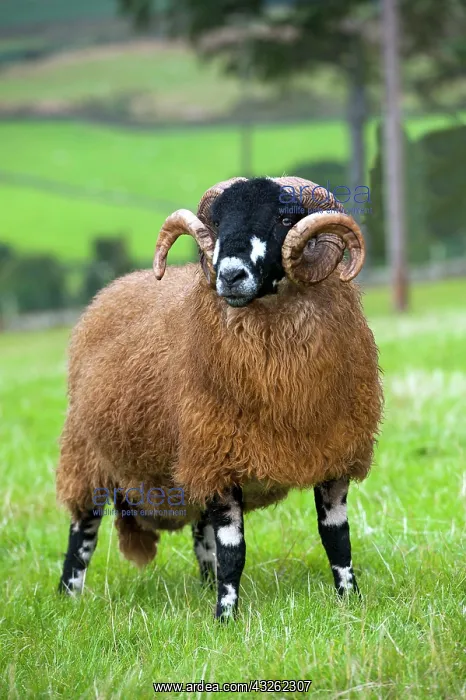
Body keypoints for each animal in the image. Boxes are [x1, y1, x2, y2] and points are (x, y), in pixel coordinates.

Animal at [56, 176, 383, 618]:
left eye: (284, 219)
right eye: (217, 221)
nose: (229, 275)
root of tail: (111, 289)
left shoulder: (334, 457)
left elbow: (337, 540)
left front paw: (351, 602)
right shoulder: (220, 460)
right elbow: (234, 551)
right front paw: (226, 617)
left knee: (201, 535)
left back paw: (205, 585)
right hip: (88, 456)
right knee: (82, 533)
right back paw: (67, 598)